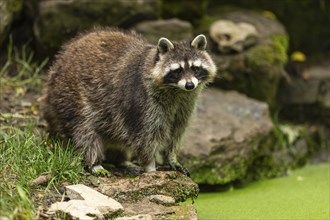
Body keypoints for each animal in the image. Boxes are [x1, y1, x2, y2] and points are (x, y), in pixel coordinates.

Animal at [42, 27, 217, 175]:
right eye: (178, 71)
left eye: (195, 68)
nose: (190, 85)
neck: (177, 91)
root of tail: (59, 62)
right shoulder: (144, 101)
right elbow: (146, 136)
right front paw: (150, 166)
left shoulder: (185, 104)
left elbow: (176, 132)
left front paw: (172, 157)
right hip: (71, 95)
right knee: (85, 132)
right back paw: (94, 162)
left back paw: (122, 161)